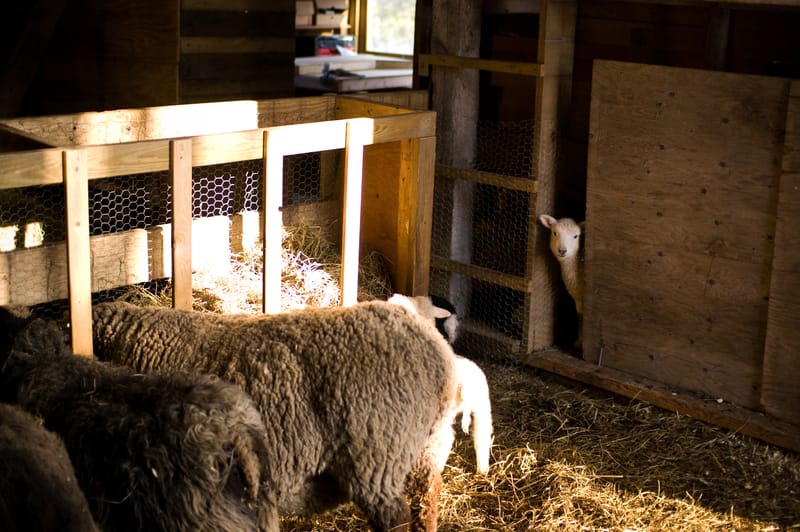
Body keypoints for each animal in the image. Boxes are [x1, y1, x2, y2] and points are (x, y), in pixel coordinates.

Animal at [539, 214, 585, 348]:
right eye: (555, 233)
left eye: (576, 236)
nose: (562, 251)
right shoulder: (578, 298)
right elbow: (580, 316)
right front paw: (579, 341)